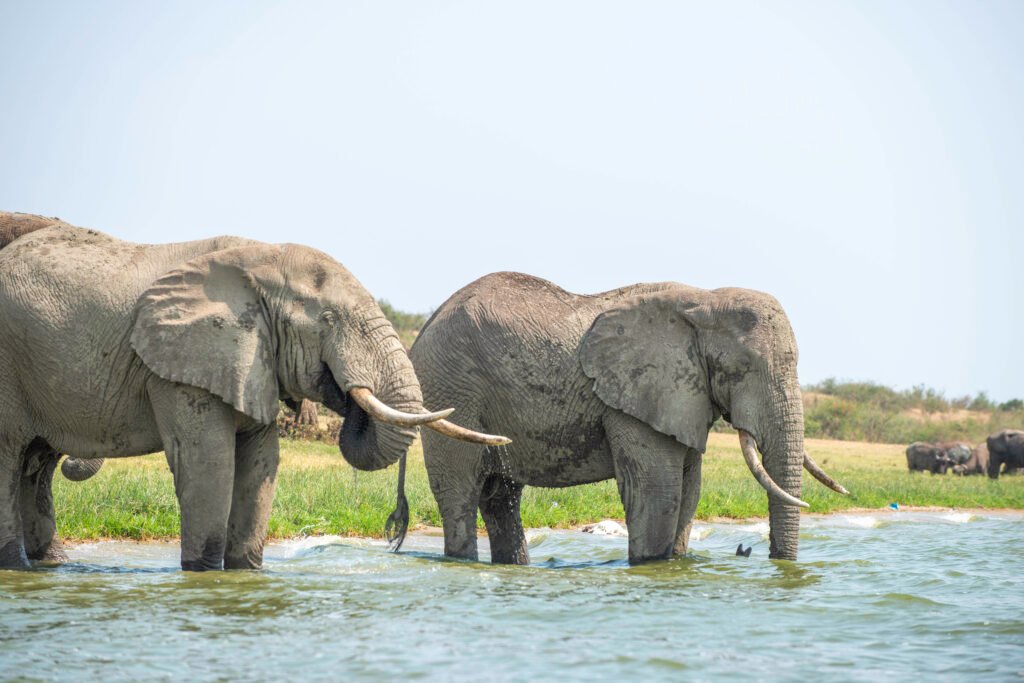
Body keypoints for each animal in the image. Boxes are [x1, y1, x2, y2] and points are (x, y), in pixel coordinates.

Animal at [0, 211, 505, 570]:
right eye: (329, 320)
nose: (346, 396)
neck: (261, 260)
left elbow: (261, 464)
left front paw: (245, 573)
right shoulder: (182, 364)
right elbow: (210, 461)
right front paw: (204, 574)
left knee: (34, 463)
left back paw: (47, 565)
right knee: (9, 456)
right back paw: (15, 565)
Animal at [391, 272, 848, 564]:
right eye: (741, 368)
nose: (769, 559)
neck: (704, 299)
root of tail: (429, 320)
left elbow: (689, 491)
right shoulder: (634, 396)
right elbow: (659, 490)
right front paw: (650, 568)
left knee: (500, 495)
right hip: (452, 388)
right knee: (461, 491)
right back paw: (463, 562)